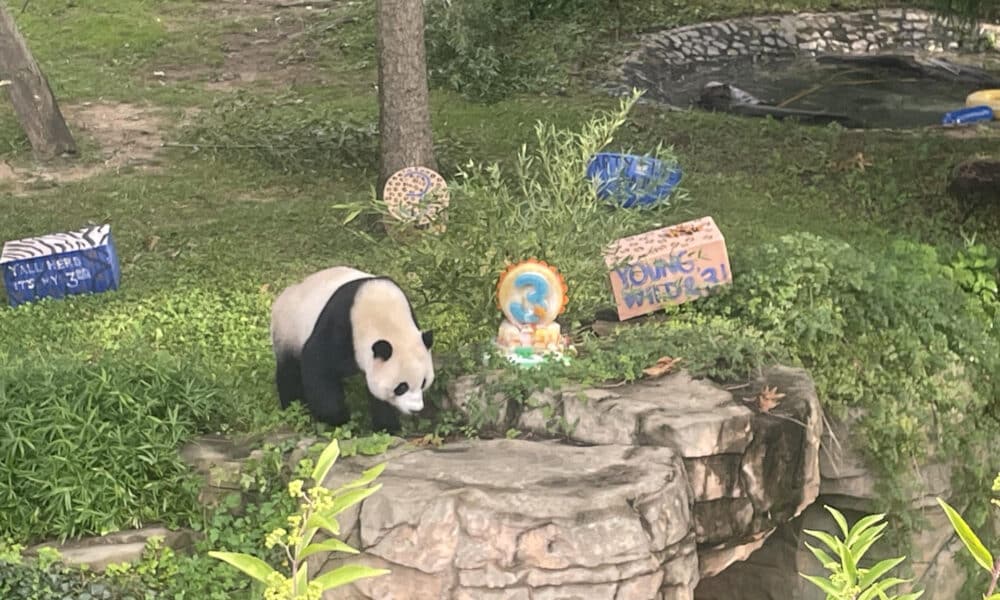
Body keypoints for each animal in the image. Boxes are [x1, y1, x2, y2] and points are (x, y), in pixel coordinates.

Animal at [270, 266, 434, 432]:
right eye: (401, 387)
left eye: (423, 382)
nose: (415, 409)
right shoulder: (340, 327)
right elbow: (318, 365)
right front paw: (339, 419)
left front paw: (388, 427)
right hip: (288, 329)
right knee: (289, 370)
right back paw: (294, 407)